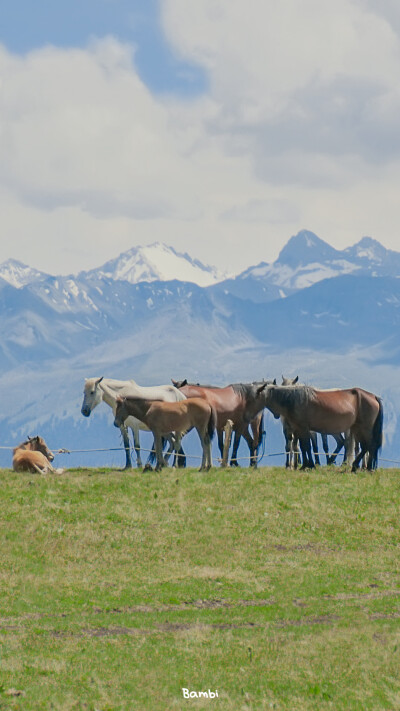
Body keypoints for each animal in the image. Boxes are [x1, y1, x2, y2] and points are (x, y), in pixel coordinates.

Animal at [256, 384, 384, 472]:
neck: (294, 400)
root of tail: (373, 396)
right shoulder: (297, 430)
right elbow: (302, 446)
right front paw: (304, 465)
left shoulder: (304, 429)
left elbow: (308, 446)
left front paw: (309, 465)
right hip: (358, 429)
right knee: (363, 446)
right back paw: (355, 466)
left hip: (365, 428)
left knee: (369, 445)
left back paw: (366, 467)